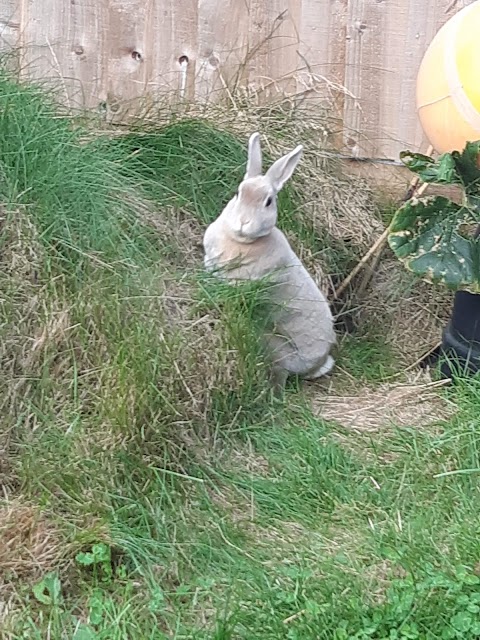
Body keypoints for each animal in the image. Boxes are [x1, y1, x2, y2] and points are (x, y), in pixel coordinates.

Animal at [203, 132, 338, 388]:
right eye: (238, 193)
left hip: (277, 350)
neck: (242, 242)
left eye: (268, 201)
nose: (243, 222)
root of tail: (318, 363)